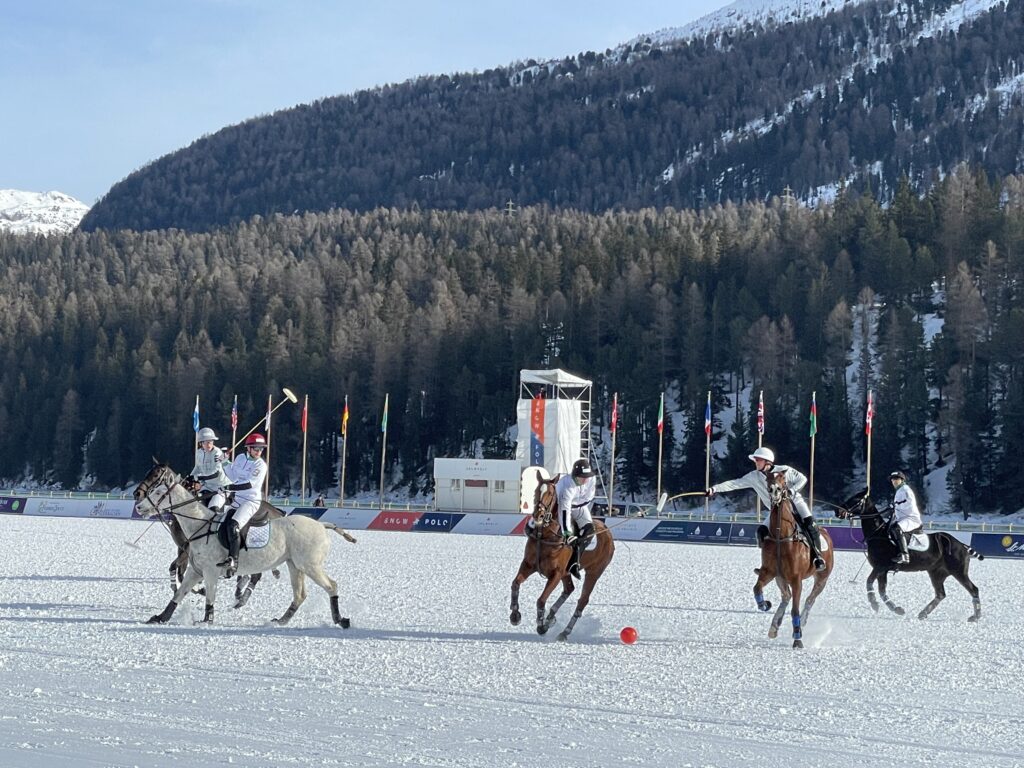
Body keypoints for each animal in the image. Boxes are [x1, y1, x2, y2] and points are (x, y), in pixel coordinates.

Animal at [133, 460, 356, 626]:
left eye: (157, 491)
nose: (139, 505)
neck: (201, 524)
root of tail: (322, 525)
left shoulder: (210, 570)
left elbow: (209, 596)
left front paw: (207, 619)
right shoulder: (195, 570)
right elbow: (180, 593)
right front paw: (160, 617)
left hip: (310, 565)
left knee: (331, 585)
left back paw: (340, 619)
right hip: (295, 565)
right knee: (300, 594)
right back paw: (281, 620)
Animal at [507, 468, 610, 643]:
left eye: (550, 493)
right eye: (536, 491)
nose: (538, 516)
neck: (545, 535)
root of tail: (608, 531)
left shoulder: (555, 573)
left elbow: (541, 600)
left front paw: (541, 626)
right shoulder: (528, 564)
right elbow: (515, 584)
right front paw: (515, 615)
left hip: (594, 572)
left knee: (582, 601)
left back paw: (564, 631)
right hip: (567, 573)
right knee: (569, 589)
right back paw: (551, 617)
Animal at [753, 473, 831, 647]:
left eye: (783, 480)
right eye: (767, 479)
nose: (774, 490)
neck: (781, 537)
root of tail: (825, 531)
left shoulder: (796, 580)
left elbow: (795, 609)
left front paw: (797, 638)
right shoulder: (769, 572)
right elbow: (757, 589)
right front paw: (764, 604)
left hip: (822, 578)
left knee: (809, 600)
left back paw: (802, 623)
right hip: (780, 578)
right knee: (786, 597)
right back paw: (774, 626)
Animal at [839, 493, 983, 626]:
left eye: (856, 500)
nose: (838, 512)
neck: (878, 533)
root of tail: (962, 545)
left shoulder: (880, 566)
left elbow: (869, 582)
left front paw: (874, 603)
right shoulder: (882, 570)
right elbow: (882, 590)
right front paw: (897, 609)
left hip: (959, 571)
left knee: (973, 589)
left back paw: (975, 617)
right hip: (936, 573)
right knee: (941, 594)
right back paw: (923, 613)